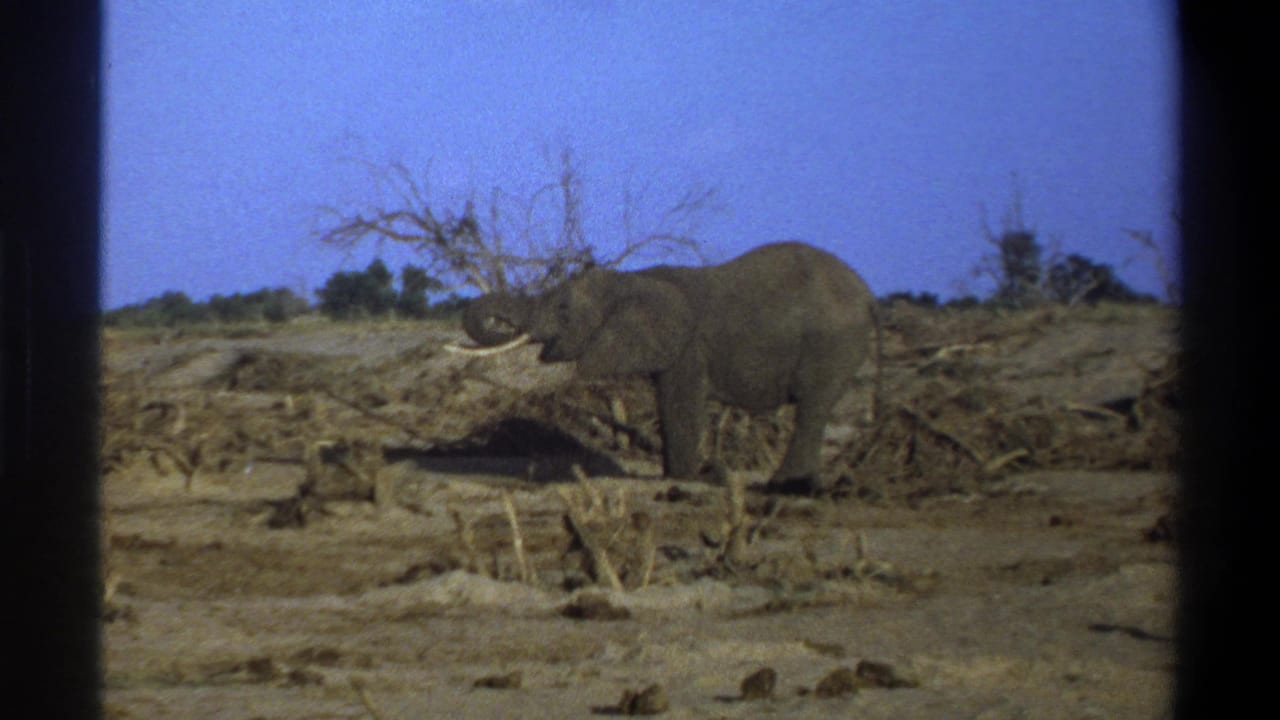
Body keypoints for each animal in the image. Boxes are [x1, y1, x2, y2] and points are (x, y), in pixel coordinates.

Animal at [456, 241, 878, 494]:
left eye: (562, 309)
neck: (633, 279)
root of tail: (869, 295)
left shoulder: (689, 347)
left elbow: (681, 403)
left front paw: (682, 478)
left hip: (830, 342)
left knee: (812, 405)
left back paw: (783, 486)